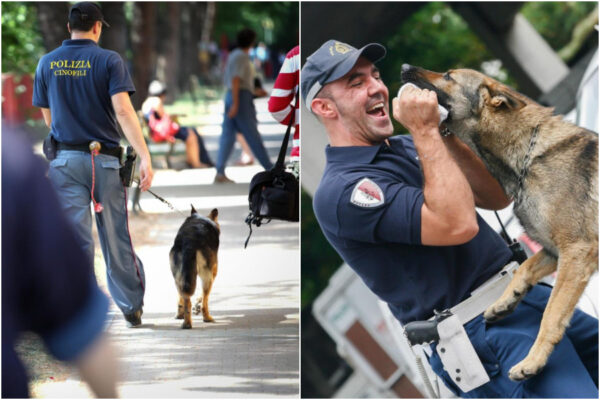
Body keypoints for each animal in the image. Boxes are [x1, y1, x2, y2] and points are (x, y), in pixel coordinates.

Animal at [400, 65, 596, 382]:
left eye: (448, 76)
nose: (404, 68)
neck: (528, 156)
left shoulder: (577, 253)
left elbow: (551, 313)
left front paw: (533, 360)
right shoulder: (555, 252)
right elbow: (524, 269)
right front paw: (505, 300)